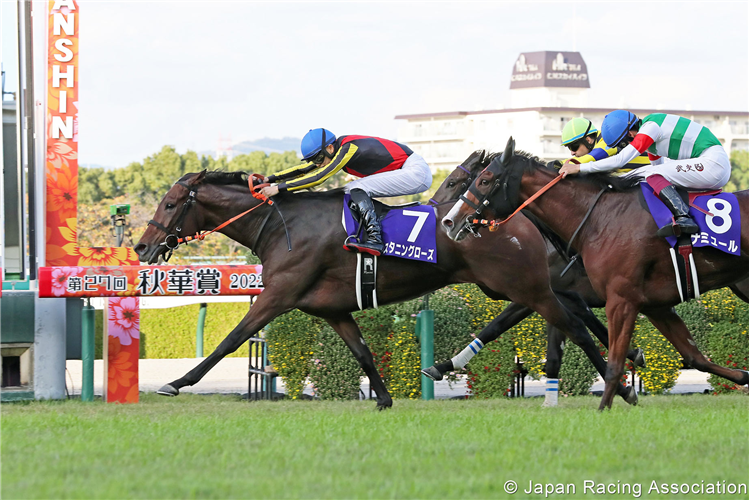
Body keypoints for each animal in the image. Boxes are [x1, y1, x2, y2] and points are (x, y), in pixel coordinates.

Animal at [442, 138, 748, 410]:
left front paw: (610, 402)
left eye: (482, 181)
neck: (601, 218)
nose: (448, 221)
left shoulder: (615, 299)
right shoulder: (652, 304)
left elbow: (605, 356)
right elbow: (694, 356)